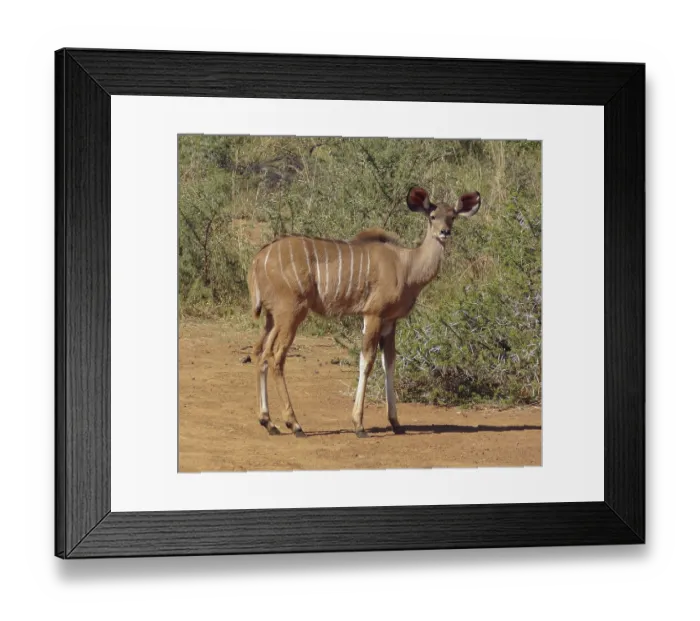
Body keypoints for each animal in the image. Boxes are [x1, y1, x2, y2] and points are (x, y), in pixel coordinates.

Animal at [247, 186, 481, 439]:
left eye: (453, 216)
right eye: (432, 216)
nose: (445, 232)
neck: (406, 266)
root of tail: (258, 259)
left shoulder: (390, 321)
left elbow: (389, 362)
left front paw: (396, 423)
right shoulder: (373, 315)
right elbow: (366, 362)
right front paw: (358, 425)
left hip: (272, 317)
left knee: (260, 351)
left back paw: (268, 422)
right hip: (291, 313)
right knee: (276, 355)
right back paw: (294, 424)